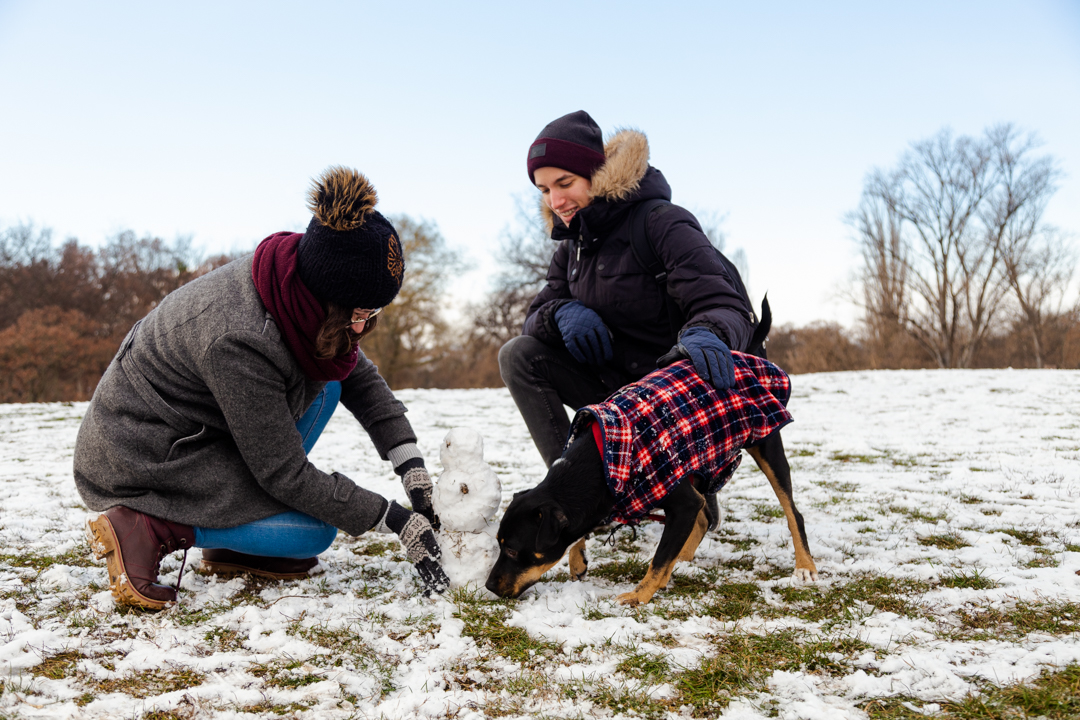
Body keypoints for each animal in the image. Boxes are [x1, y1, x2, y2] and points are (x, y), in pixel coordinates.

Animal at [486, 302, 812, 604]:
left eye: (512, 549)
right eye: (499, 544)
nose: (489, 585)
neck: (602, 462)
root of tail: (738, 354)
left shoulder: (681, 500)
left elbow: (659, 558)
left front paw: (638, 595)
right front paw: (577, 559)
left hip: (764, 443)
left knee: (792, 512)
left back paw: (805, 567)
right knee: (704, 518)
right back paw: (683, 560)